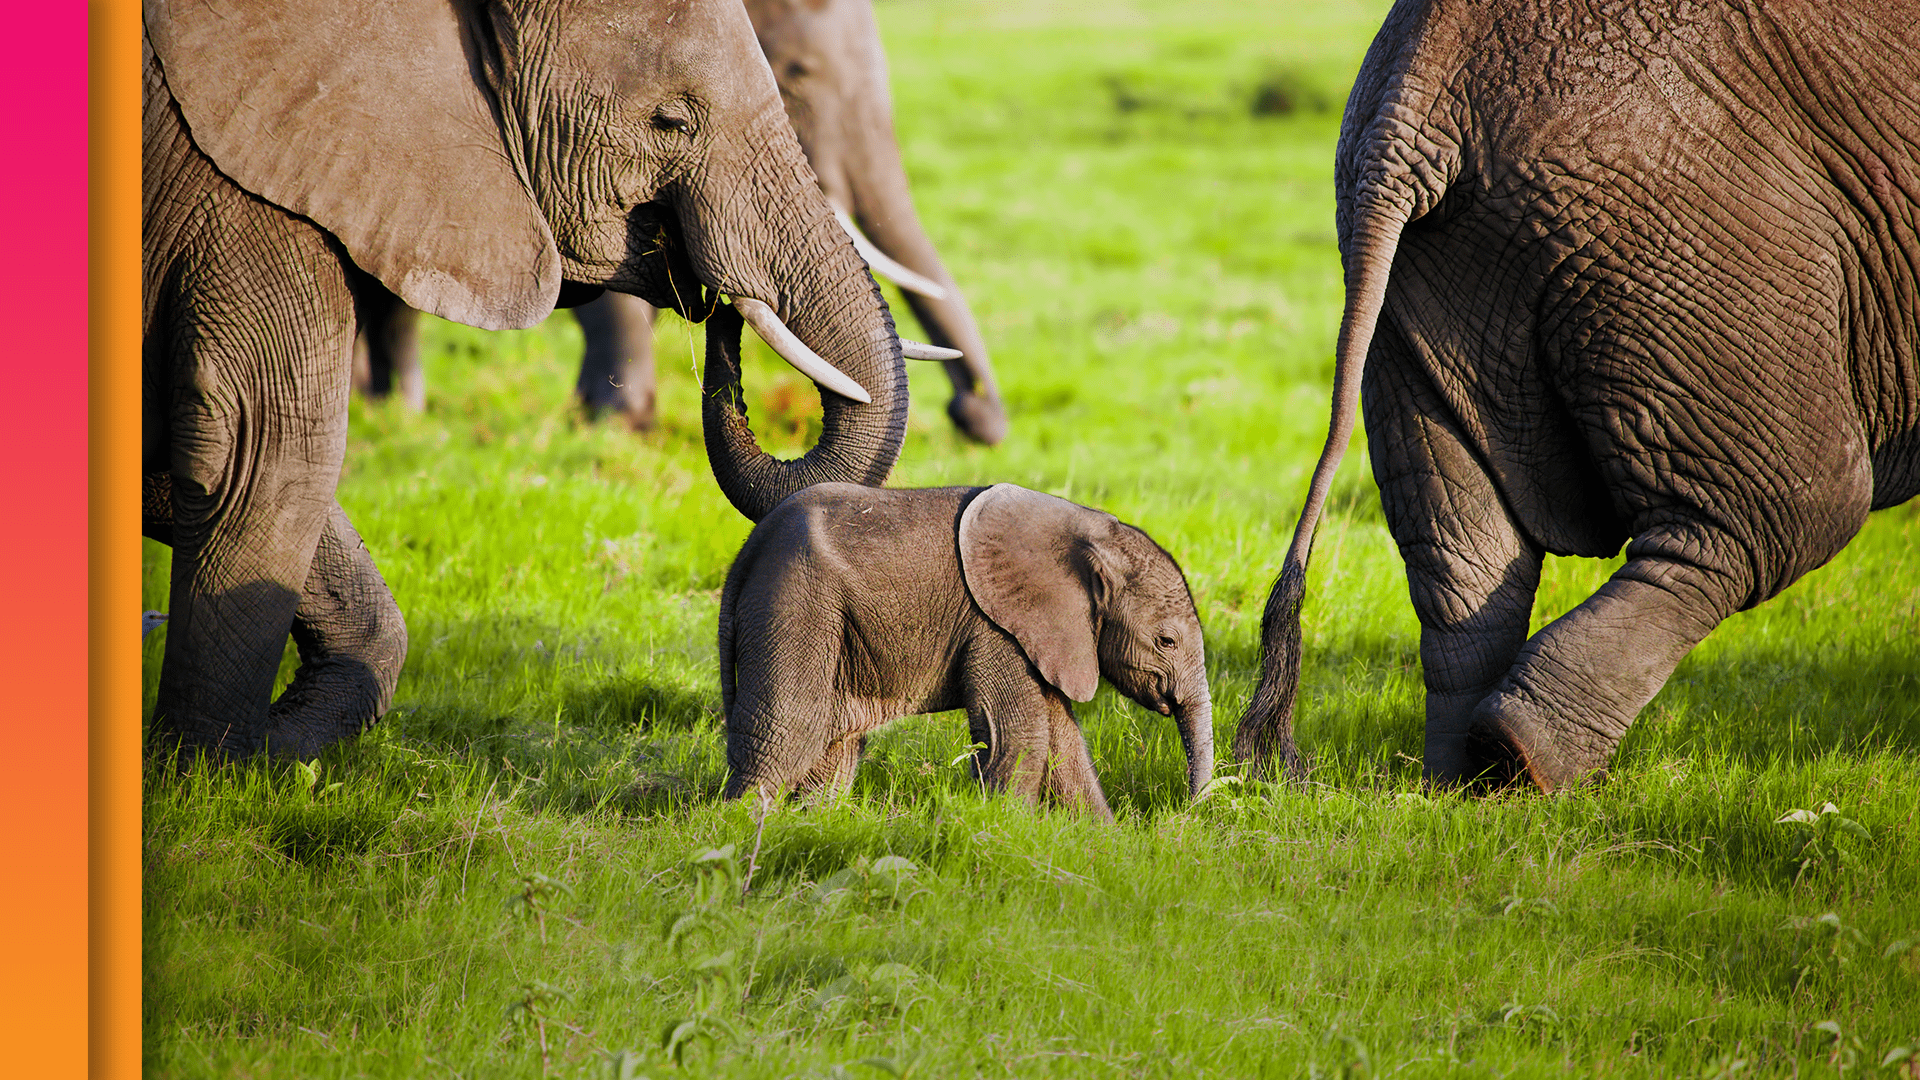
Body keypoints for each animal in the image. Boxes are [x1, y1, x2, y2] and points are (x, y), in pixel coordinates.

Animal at [145, 0, 910, 757]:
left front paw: (264, 750)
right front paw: (211, 771)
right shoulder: (248, 195)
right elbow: (267, 452)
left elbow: (189, 463)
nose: (716, 303)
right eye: (671, 122)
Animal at [721, 478, 1213, 814]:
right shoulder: (997, 625)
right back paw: (743, 826)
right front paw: (1008, 829)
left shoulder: (1041, 632)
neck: (1090, 530)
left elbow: (1063, 739)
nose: (1184, 814)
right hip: (794, 600)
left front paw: (1103, 842)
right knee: (789, 729)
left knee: (833, 745)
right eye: (1166, 641)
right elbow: (1020, 734)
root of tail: (747, 551)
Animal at [1236, 0, 1912, 791]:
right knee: (1784, 512)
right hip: (1683, 232)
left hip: (1420, 273)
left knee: (1461, 550)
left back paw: (1465, 782)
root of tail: (1413, 100)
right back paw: (1526, 758)